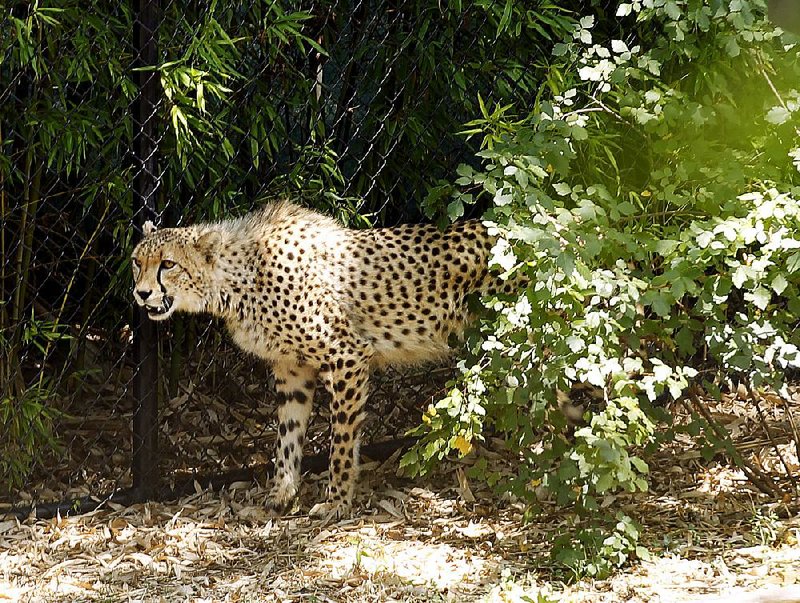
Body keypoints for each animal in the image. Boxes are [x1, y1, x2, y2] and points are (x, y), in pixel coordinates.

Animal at [131, 201, 520, 516]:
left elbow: (342, 439)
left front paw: (337, 501)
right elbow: (287, 435)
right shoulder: (292, 369)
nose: (141, 293)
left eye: (168, 264)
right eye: (137, 262)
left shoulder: (347, 356)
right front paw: (282, 494)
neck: (240, 278)